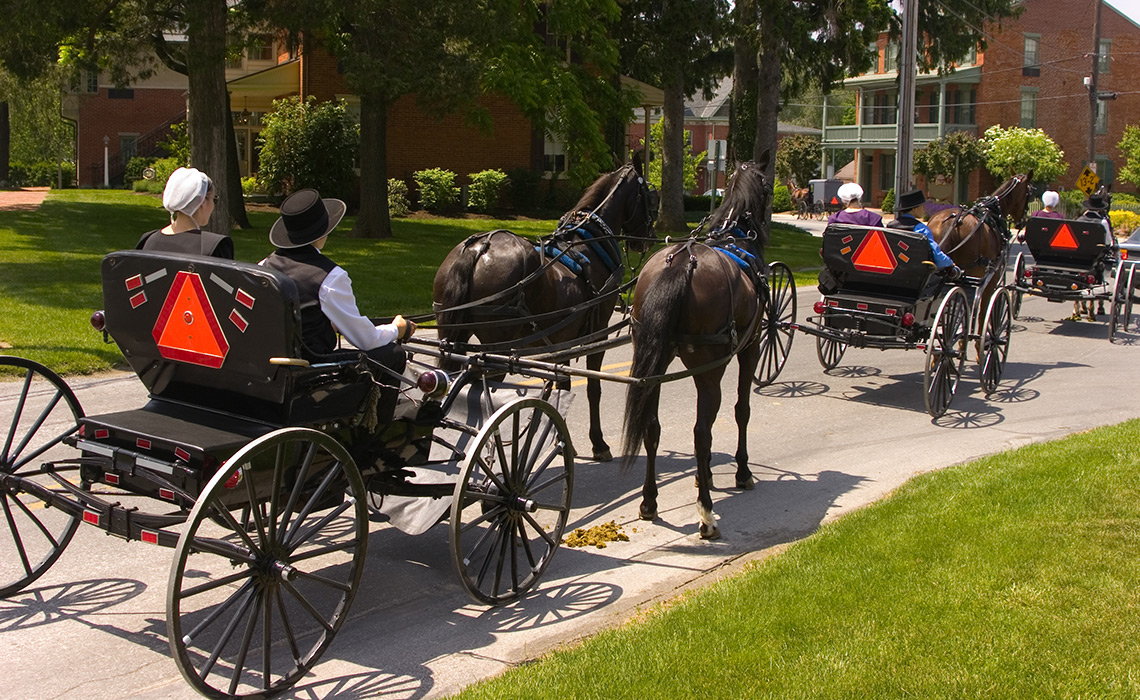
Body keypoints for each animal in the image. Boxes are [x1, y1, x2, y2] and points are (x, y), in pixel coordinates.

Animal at [428, 157, 661, 460]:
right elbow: (593, 387)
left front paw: (561, 441)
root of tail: (481, 247)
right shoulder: (598, 331)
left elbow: (564, 383)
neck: (590, 240)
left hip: (453, 331)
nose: (647, 237)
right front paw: (598, 444)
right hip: (495, 346)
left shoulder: (565, 337)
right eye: (651, 197)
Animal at [624, 157, 775, 542]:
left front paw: (702, 475)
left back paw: (649, 501)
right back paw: (706, 514)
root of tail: (681, 262)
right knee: (700, 433)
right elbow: (741, 410)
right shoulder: (751, 347)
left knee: (652, 428)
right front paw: (741, 472)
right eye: (768, 187)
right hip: (711, 369)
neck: (736, 236)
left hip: (655, 363)